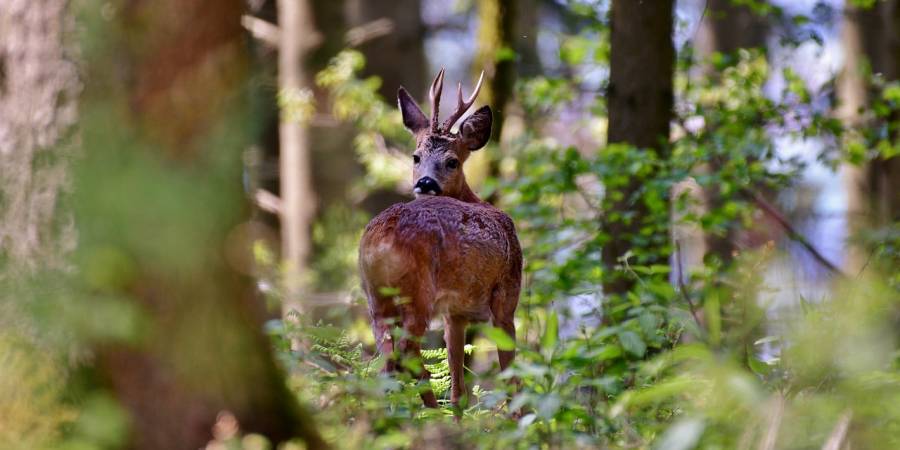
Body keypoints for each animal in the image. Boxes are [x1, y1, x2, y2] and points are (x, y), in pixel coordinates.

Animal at [358, 68, 524, 410]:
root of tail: (381, 243)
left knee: (389, 358)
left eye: (452, 161)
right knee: (403, 356)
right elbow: (511, 377)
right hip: (418, 292)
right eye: (415, 156)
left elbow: (459, 387)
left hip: (375, 298)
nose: (425, 183)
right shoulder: (507, 294)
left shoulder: (454, 312)